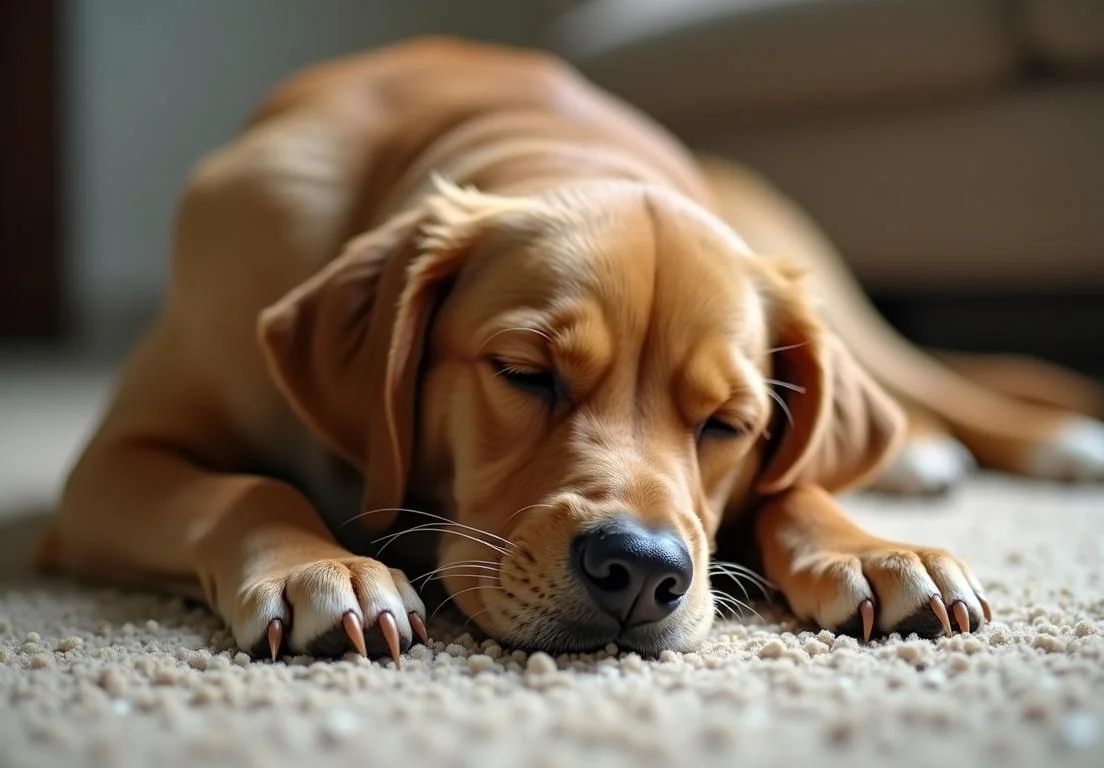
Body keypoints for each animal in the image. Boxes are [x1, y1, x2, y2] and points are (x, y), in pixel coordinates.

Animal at [40, 37, 1095, 662]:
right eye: (525, 375)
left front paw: (870, 549)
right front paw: (318, 565)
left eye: (730, 423)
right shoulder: (111, 465)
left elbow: (797, 484)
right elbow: (245, 486)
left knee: (934, 391)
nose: (641, 572)